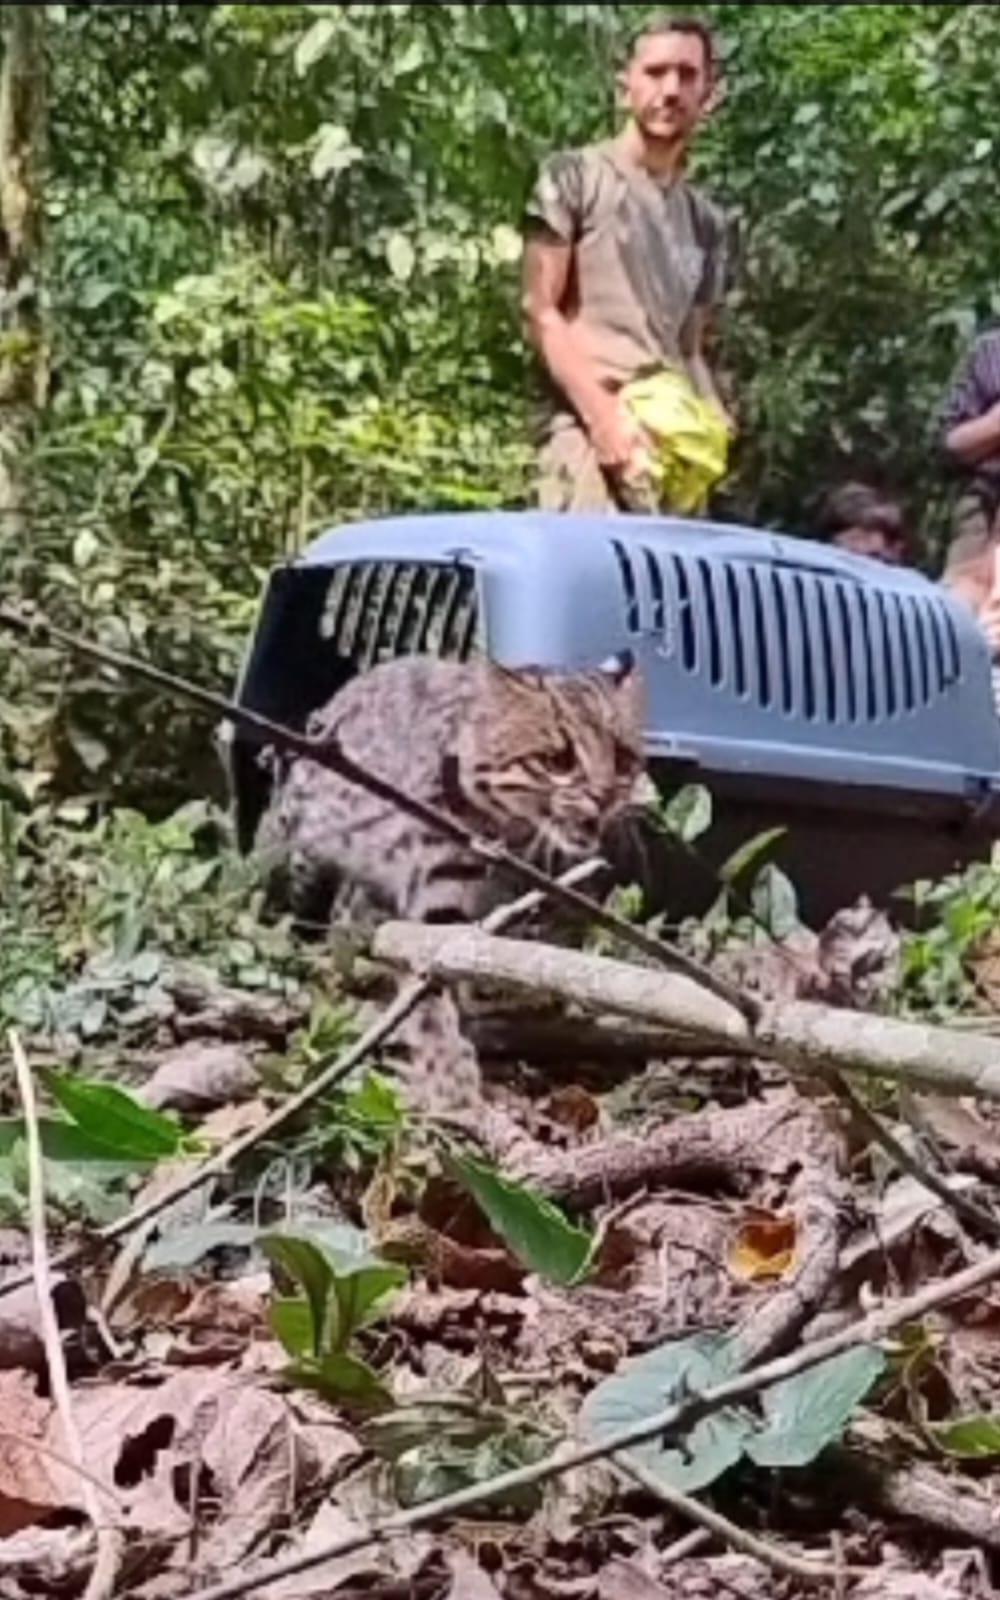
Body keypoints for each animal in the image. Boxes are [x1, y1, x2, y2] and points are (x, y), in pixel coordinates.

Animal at [252, 649, 652, 1113]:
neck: (518, 837)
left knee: (350, 908)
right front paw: (449, 1075)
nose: (604, 796)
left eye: (622, 758)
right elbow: (430, 988)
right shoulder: (433, 897)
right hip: (303, 852)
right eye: (558, 760)